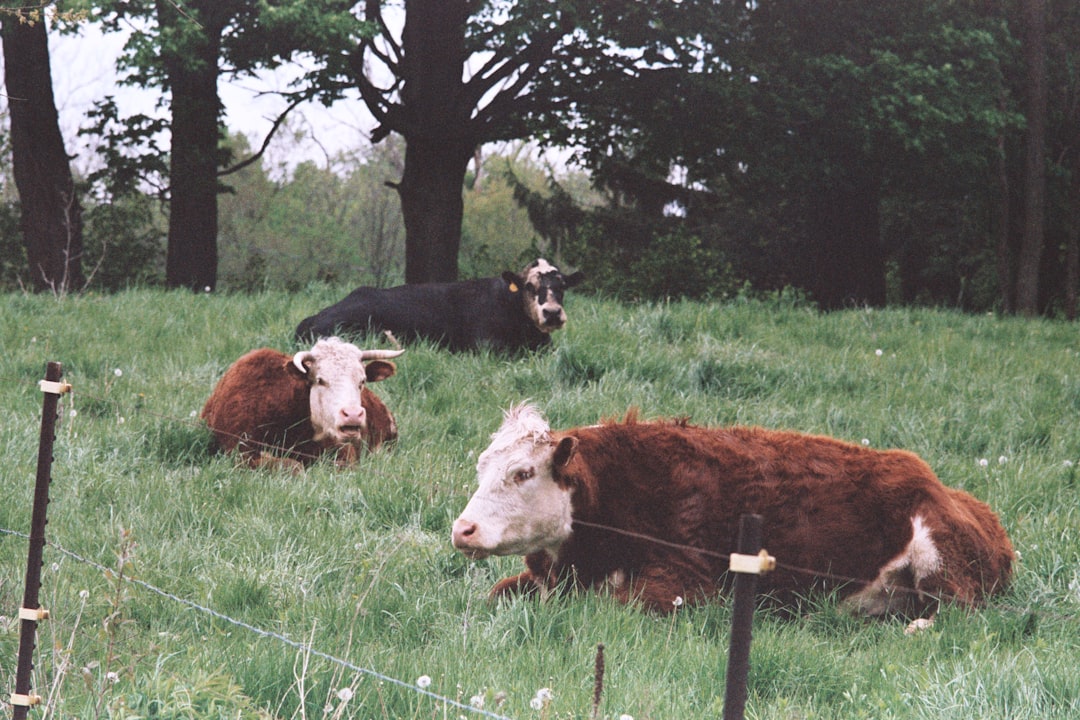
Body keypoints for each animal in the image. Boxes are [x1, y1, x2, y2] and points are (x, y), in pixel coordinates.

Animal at [451, 403, 1015, 621]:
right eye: (481, 467)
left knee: (954, 612)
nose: (463, 529)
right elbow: (495, 593)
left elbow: (622, 602)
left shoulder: (688, 585)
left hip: (941, 560)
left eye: (523, 473)